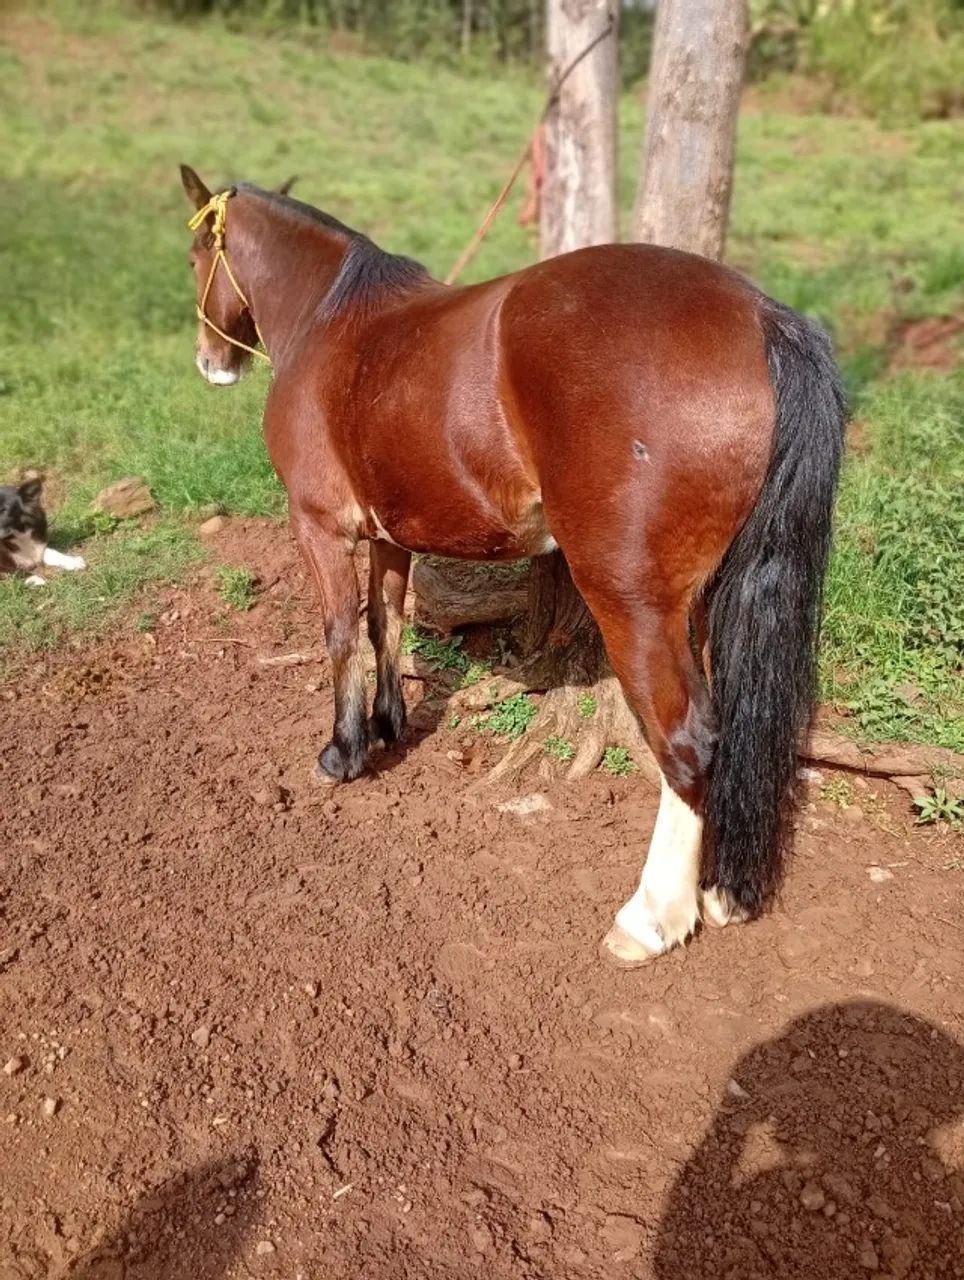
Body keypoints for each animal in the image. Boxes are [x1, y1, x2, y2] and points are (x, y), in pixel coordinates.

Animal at [178, 164, 846, 969]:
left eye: (194, 257)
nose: (209, 362)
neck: (334, 323)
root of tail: (758, 316)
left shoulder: (319, 528)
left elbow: (341, 635)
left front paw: (343, 751)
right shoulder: (391, 537)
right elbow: (385, 628)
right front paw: (389, 726)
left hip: (635, 604)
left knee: (690, 742)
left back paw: (651, 917)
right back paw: (721, 892)